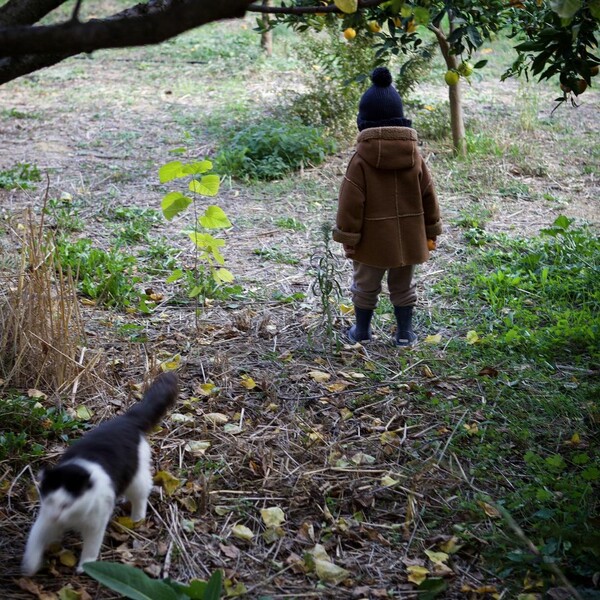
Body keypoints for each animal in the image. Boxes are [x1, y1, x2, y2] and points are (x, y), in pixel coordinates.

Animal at [21, 372, 180, 576]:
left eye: (66, 505)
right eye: (50, 501)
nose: (56, 516)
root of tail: (127, 419)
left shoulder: (95, 525)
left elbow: (91, 548)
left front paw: (85, 567)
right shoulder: (46, 520)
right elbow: (34, 542)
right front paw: (29, 568)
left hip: (136, 478)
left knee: (141, 495)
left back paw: (137, 518)